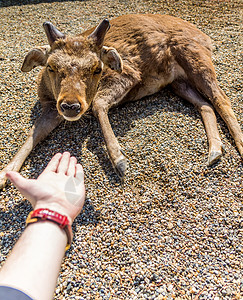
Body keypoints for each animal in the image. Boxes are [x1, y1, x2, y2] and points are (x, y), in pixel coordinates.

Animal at [0, 14, 243, 188]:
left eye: (97, 68)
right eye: (51, 66)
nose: (71, 105)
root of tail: (207, 38)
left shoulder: (129, 74)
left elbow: (98, 104)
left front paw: (120, 160)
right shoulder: (51, 107)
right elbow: (33, 135)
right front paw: (4, 175)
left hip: (195, 57)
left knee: (222, 99)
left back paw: (237, 145)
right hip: (177, 82)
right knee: (205, 104)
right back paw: (215, 150)